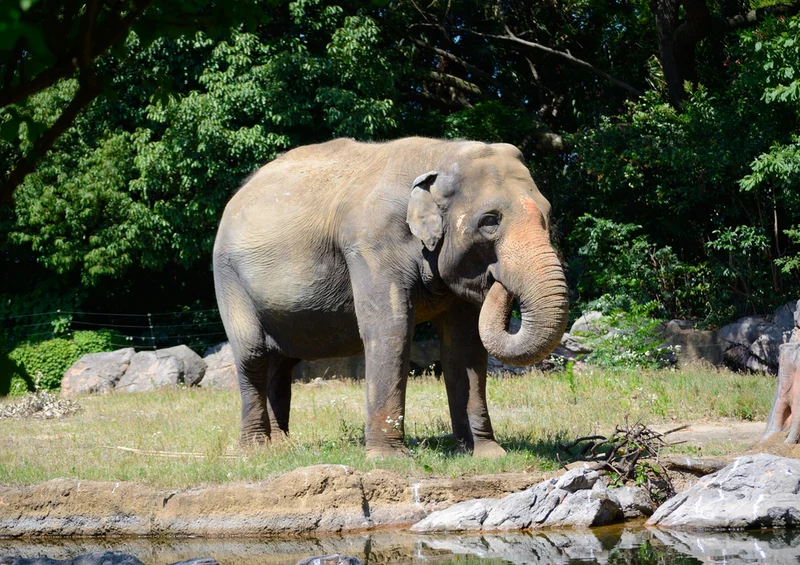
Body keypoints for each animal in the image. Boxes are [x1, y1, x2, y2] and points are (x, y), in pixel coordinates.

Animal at [213, 137, 569, 458]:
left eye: (548, 215)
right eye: (490, 221)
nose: (499, 280)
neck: (441, 153)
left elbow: (464, 345)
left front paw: (487, 454)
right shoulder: (372, 245)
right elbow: (390, 330)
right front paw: (390, 459)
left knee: (281, 363)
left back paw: (282, 447)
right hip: (228, 279)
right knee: (253, 355)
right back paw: (256, 450)